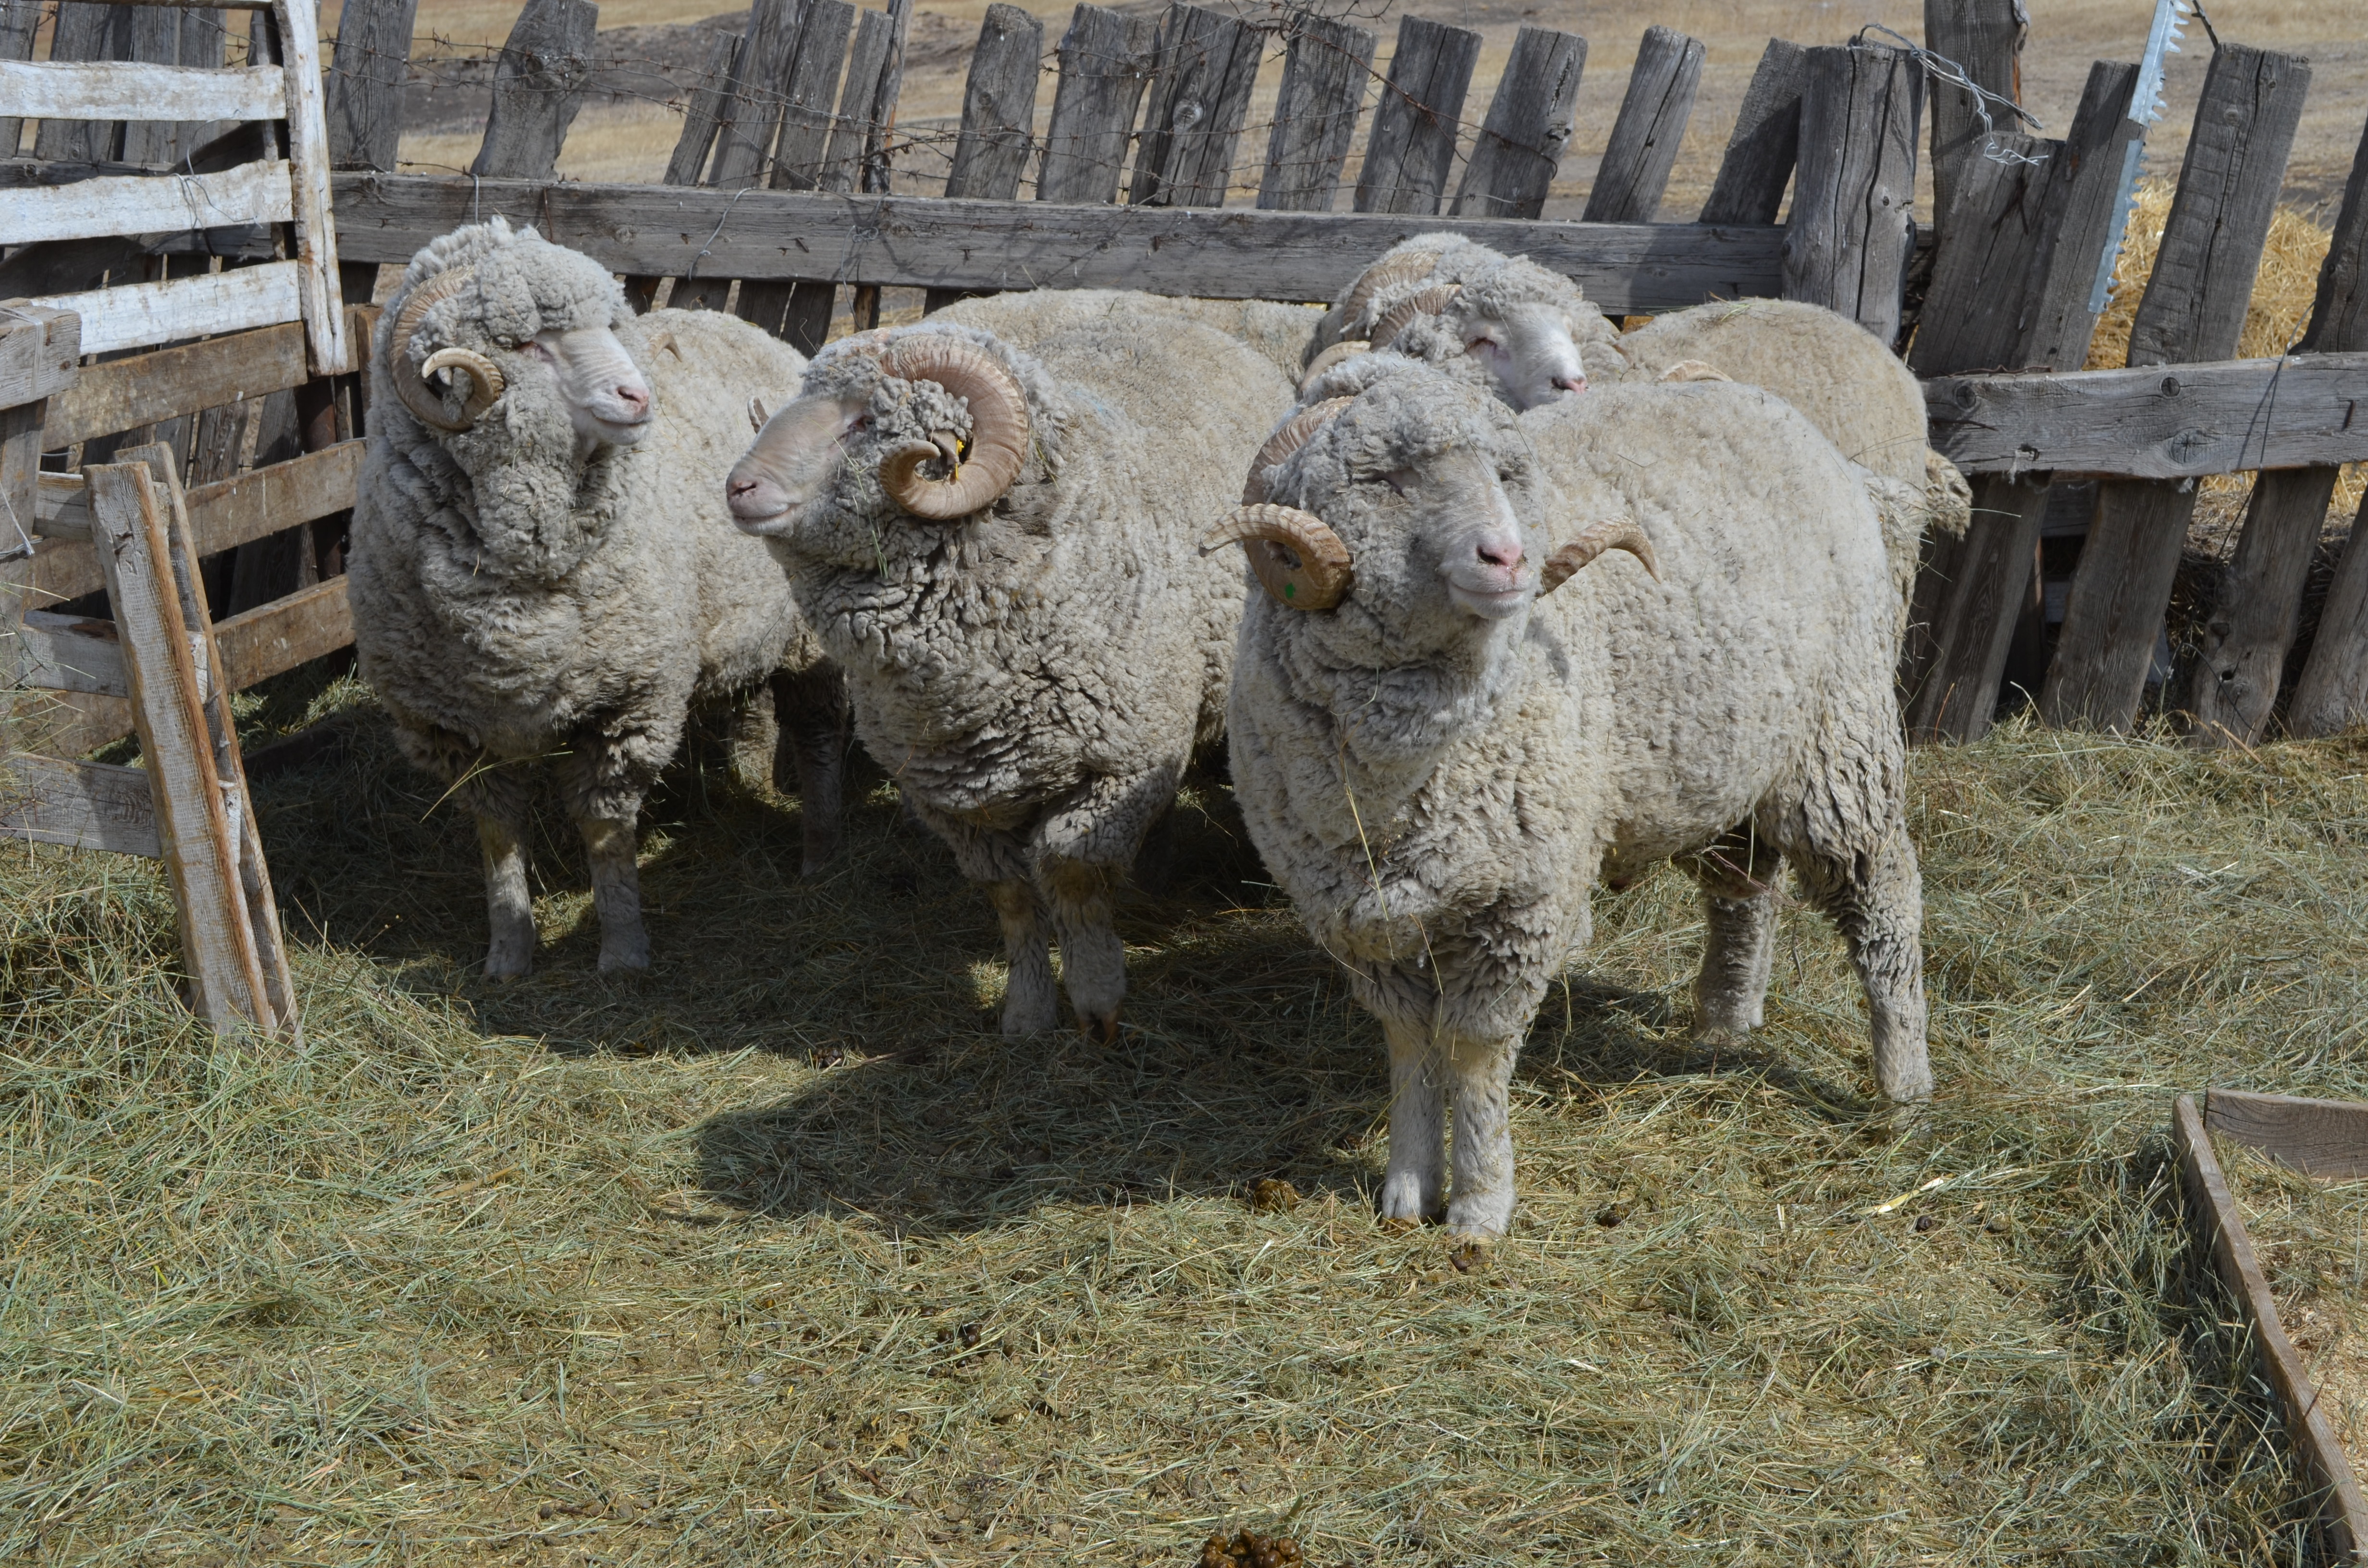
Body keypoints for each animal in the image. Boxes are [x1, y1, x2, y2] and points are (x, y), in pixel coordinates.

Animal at [345, 218, 843, 985]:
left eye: (608, 325)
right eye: (526, 344)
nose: (638, 397)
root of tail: (741, 324)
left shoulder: (628, 702)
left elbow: (606, 831)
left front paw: (622, 951)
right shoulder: (454, 727)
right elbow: (497, 836)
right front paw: (508, 951)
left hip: (806, 637)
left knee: (816, 732)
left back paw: (818, 853)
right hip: (744, 624)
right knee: (752, 706)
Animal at [720, 319, 1297, 1042]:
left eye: (863, 420)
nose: (737, 487)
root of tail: (1187, 320)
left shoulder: (1121, 764)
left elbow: (1070, 872)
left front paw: (1097, 1001)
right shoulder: (952, 799)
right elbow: (1012, 897)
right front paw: (1026, 1014)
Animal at [1212, 360, 1932, 1241]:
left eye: (1505, 475)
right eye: (1383, 478)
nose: (1510, 557)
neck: (1401, 775)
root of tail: (1777, 412)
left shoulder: (1525, 900)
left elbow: (1475, 1051)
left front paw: (1479, 1208)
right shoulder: (1356, 915)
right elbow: (1409, 1042)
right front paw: (1406, 1190)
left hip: (1839, 740)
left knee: (1883, 897)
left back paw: (1902, 1085)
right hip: (1723, 761)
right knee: (1744, 889)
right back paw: (1725, 1023)